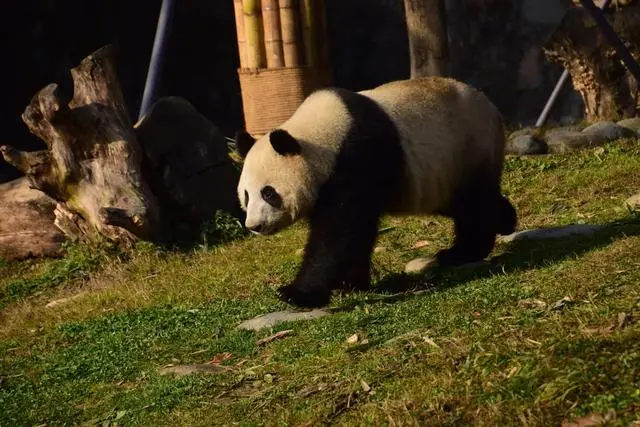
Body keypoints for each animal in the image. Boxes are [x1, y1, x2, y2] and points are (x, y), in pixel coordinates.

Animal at [232, 77, 516, 310]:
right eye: (246, 195)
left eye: (269, 193)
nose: (255, 226)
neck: (319, 137)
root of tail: (492, 107)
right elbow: (356, 231)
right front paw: (350, 283)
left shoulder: (358, 157)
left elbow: (337, 232)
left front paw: (296, 293)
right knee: (462, 202)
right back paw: (506, 221)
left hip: (468, 147)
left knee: (473, 205)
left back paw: (462, 253)